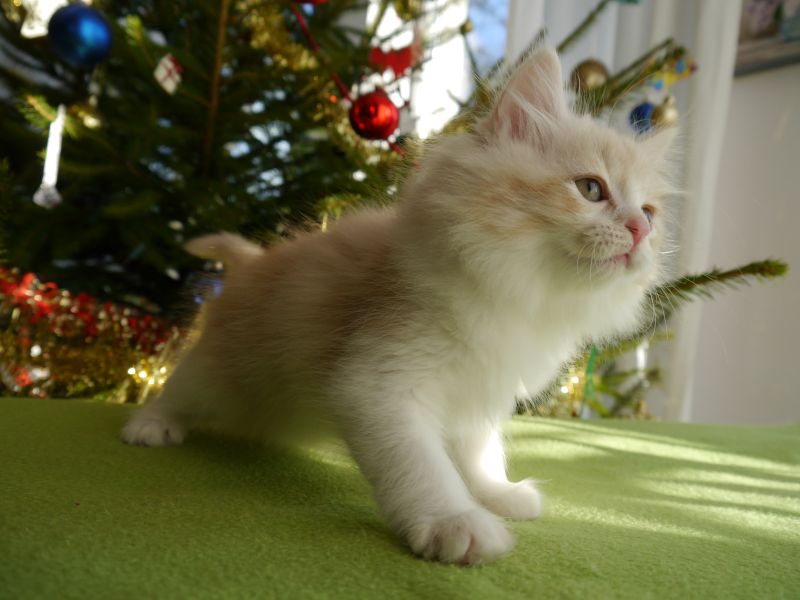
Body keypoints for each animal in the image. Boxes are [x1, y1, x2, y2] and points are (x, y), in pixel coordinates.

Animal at [121, 48, 676, 565]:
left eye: (650, 213)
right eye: (591, 188)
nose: (639, 230)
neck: (520, 293)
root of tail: (252, 262)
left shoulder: (480, 393)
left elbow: (479, 453)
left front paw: (496, 493)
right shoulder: (378, 382)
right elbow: (420, 464)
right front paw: (456, 522)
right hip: (222, 372)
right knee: (177, 386)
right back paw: (149, 425)